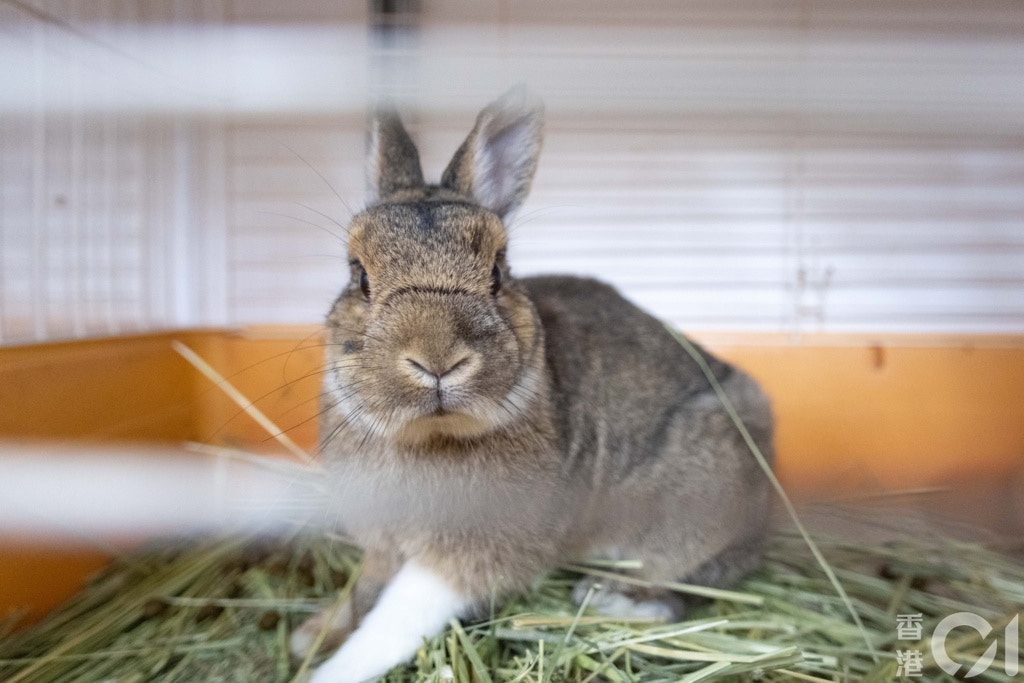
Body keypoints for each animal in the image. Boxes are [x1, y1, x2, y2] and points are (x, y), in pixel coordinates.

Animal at [292, 87, 770, 683]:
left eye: (498, 272)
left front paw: (326, 671)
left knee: (680, 590)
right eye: (359, 275)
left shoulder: (471, 552)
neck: (430, 435)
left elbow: (393, 621)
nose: (437, 358)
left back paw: (606, 598)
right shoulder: (381, 546)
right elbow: (364, 594)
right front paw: (309, 636)